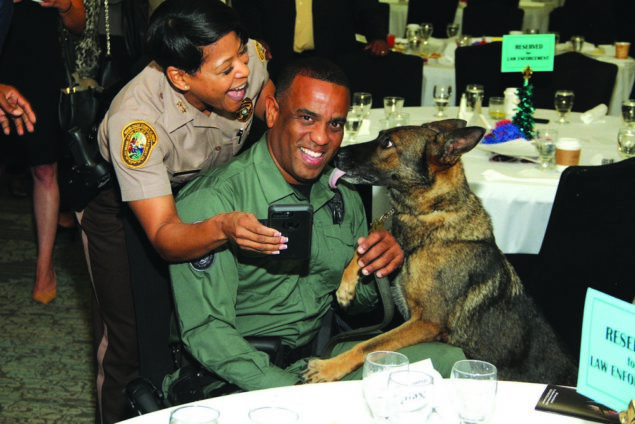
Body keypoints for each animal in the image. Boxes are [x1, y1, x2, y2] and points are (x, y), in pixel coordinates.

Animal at [306, 118, 580, 384]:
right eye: (381, 136)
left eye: (387, 143)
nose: (335, 155)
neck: (431, 214)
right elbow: (363, 248)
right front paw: (345, 287)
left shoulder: (426, 323)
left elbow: (370, 344)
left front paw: (328, 367)